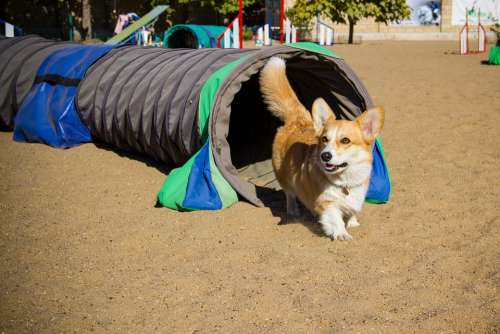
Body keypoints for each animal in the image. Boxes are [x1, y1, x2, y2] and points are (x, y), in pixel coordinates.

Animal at [260, 57, 384, 240]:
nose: (325, 156)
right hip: (283, 176)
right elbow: (335, 217)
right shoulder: (327, 203)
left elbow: (353, 209)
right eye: (324, 139)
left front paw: (353, 223)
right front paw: (341, 233)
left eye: (345, 140)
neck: (345, 181)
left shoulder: (357, 194)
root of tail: (297, 119)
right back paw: (293, 211)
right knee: (289, 194)